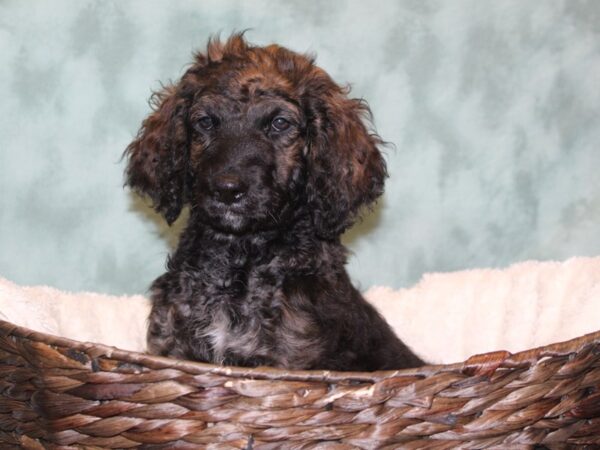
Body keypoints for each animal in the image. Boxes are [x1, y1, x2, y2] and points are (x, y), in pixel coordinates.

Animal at [125, 35, 424, 370]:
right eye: (206, 122)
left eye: (279, 123)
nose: (227, 190)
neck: (238, 258)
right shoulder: (172, 345)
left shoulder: (288, 359)